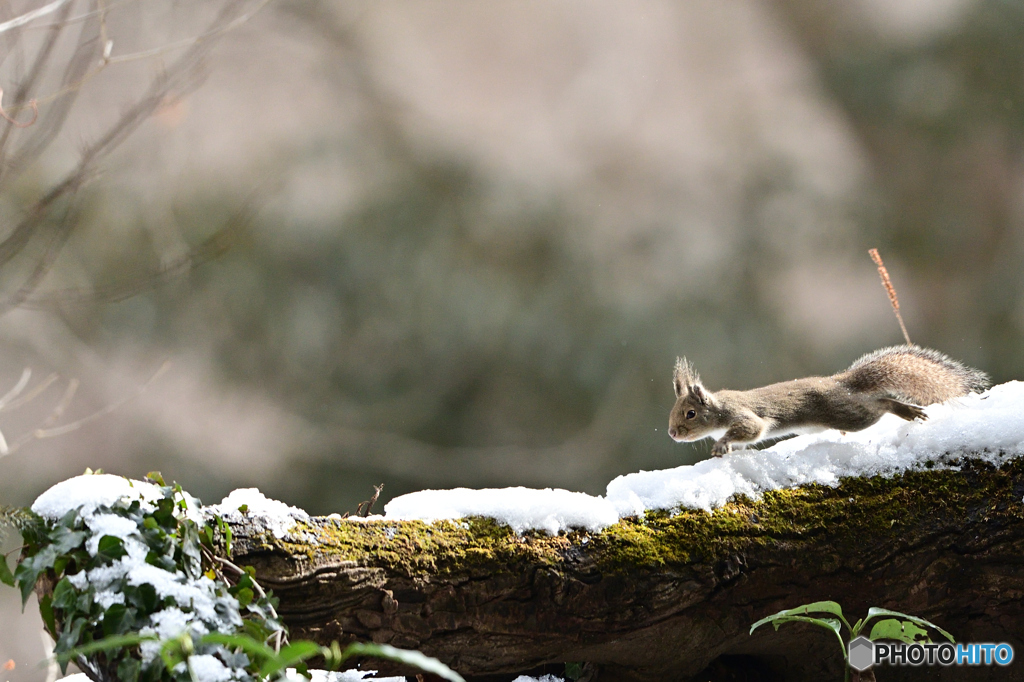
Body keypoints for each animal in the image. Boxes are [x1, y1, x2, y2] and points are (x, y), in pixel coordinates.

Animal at [667, 346, 987, 456]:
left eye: (691, 414)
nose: (672, 433)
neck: (719, 410)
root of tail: (842, 384)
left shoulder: (743, 415)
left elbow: (751, 429)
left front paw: (721, 444)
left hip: (850, 414)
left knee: (881, 404)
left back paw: (905, 410)